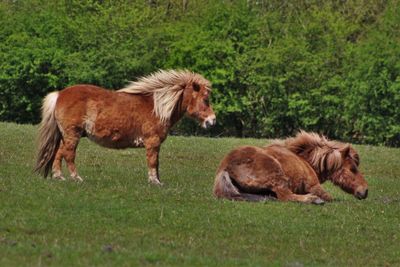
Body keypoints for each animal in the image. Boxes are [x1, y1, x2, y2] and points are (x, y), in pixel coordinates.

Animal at [35, 70, 216, 185]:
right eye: (205, 99)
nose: (212, 121)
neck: (157, 107)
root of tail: (59, 94)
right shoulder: (152, 141)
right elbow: (153, 161)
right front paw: (155, 182)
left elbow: (156, 163)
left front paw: (157, 180)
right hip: (72, 134)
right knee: (69, 155)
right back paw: (76, 178)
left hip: (66, 135)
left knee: (59, 153)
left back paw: (59, 177)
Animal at [214, 132, 368, 205]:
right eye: (353, 168)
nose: (365, 191)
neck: (306, 160)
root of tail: (225, 168)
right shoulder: (314, 186)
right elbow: (329, 197)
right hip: (277, 176)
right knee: (286, 196)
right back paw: (313, 200)